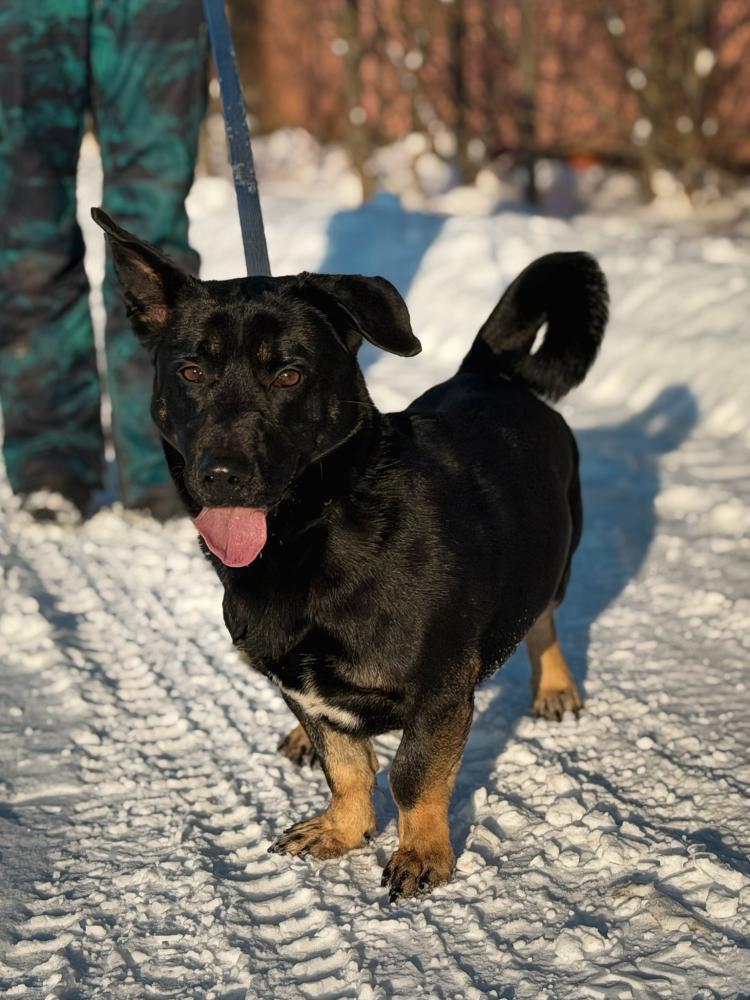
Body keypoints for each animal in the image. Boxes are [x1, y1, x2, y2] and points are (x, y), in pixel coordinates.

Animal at [93, 207, 608, 900]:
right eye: (191, 372)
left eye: (289, 374)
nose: (221, 476)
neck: (317, 528)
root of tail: (485, 371)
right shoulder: (301, 686)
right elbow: (347, 765)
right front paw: (344, 827)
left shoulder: (441, 691)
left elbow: (413, 774)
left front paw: (422, 852)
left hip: (558, 554)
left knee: (545, 617)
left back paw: (554, 686)